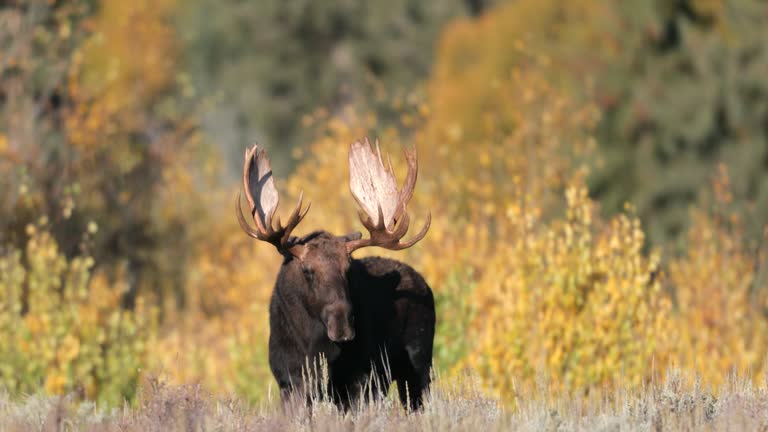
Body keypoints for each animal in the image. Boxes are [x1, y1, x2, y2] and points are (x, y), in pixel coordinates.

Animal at [235, 138, 435, 410]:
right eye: (307, 270)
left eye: (348, 267)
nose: (342, 324)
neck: (313, 348)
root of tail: (424, 284)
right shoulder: (289, 382)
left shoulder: (359, 382)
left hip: (418, 363)